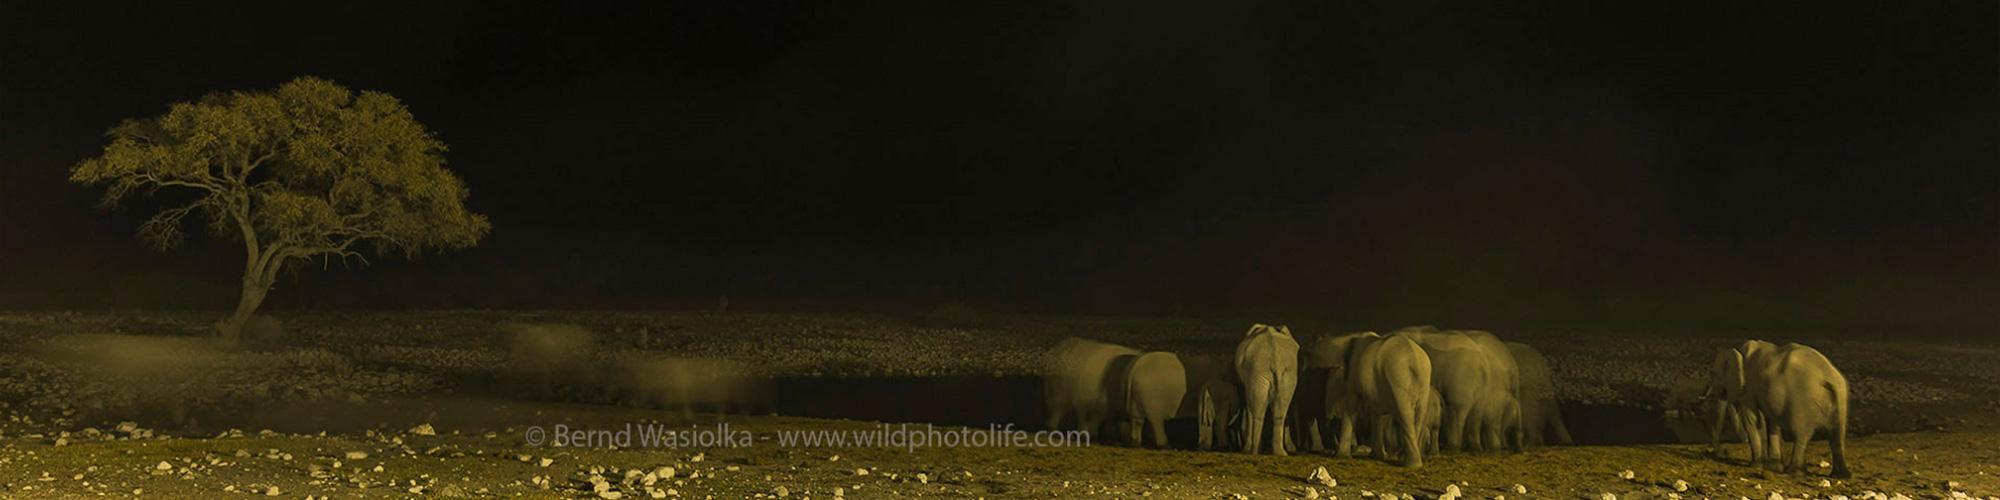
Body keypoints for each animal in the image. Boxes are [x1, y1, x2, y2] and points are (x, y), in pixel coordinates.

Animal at [1224, 322, 1304, 456]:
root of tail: (1276, 358)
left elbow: (1249, 404)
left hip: (1258, 371)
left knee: (1257, 408)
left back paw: (1253, 451)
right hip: (1287, 374)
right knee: (1280, 409)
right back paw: (1280, 453)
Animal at [1320, 330, 1432, 466]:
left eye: (1333, 383)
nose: (1330, 416)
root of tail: (1415, 359)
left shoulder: (1354, 375)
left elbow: (1352, 406)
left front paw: (1341, 456)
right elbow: (1379, 412)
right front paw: (1377, 457)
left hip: (1398, 376)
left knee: (1405, 413)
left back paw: (1411, 464)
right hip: (1422, 382)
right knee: (1418, 414)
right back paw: (1409, 462)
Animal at [1736, 340, 1856, 476]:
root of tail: (1829, 375)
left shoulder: (1747, 386)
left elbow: (1752, 418)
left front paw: (1756, 466)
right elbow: (1771, 419)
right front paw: (1773, 466)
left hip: (1803, 399)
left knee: (1802, 433)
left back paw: (1794, 472)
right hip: (1840, 396)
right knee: (1837, 433)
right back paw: (1840, 475)